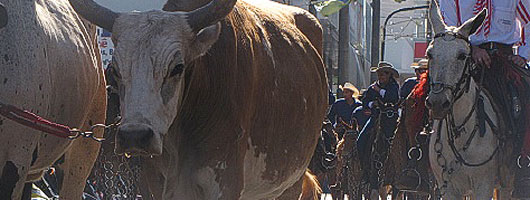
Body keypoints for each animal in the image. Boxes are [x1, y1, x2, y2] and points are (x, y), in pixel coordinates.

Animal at [68, 0, 328, 198]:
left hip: (290, 184)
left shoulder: (224, 182)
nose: (135, 136)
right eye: (114, 70)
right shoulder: (154, 182)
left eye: (177, 67)